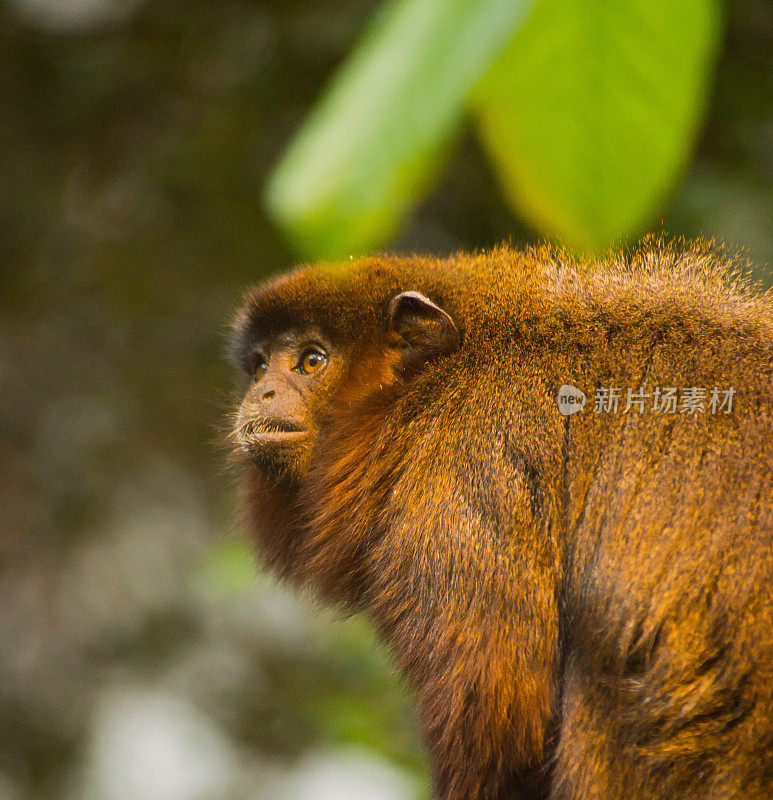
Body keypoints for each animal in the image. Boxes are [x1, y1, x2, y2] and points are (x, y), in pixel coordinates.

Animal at [229, 244, 772, 800]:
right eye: (260, 366)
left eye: (310, 361)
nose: (261, 395)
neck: (444, 378)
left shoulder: (462, 473)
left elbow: (503, 712)